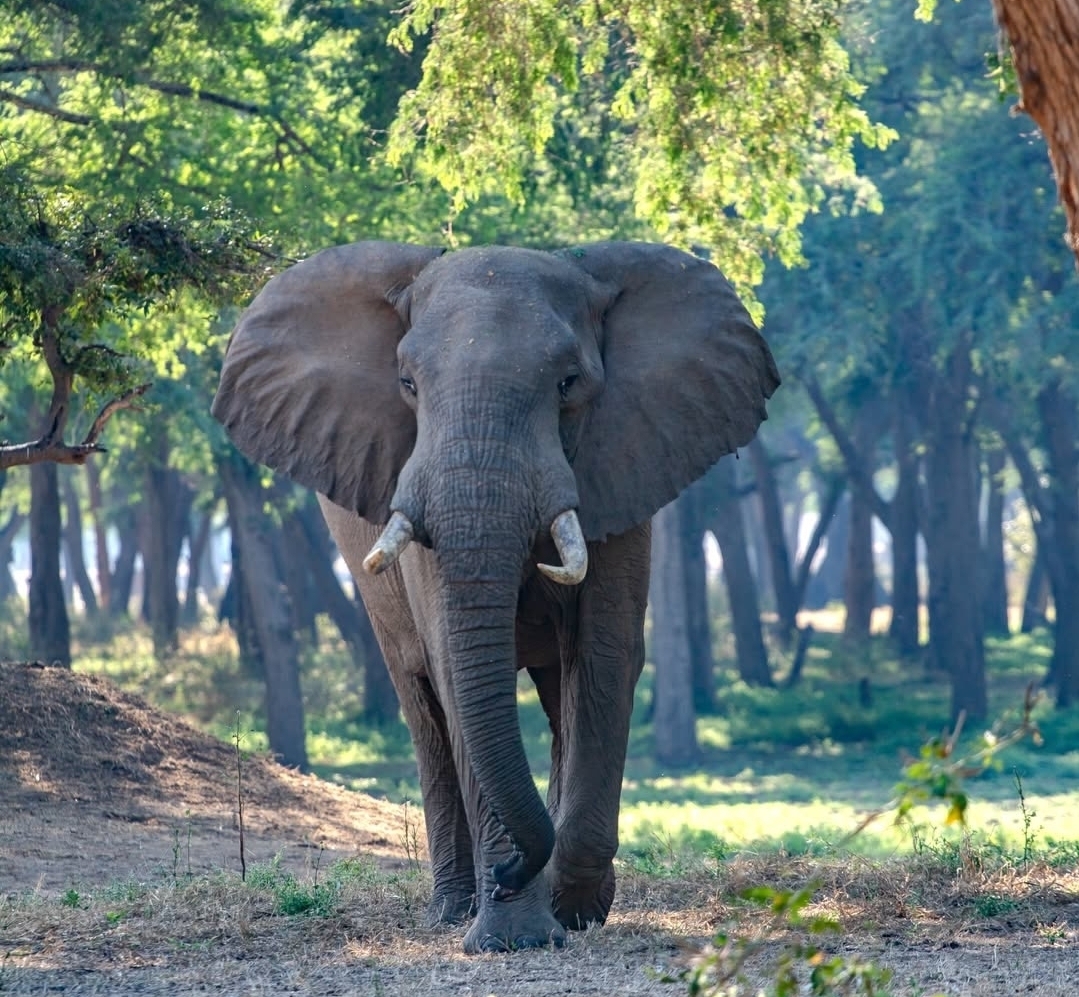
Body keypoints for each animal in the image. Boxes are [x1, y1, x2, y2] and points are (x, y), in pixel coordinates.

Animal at [211, 240, 779, 953]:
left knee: (560, 695)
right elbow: (455, 671)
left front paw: (572, 909)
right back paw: (452, 910)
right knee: (423, 703)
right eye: (408, 385)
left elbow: (604, 655)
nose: (510, 874)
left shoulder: (622, 467)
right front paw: (513, 933)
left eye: (568, 384)